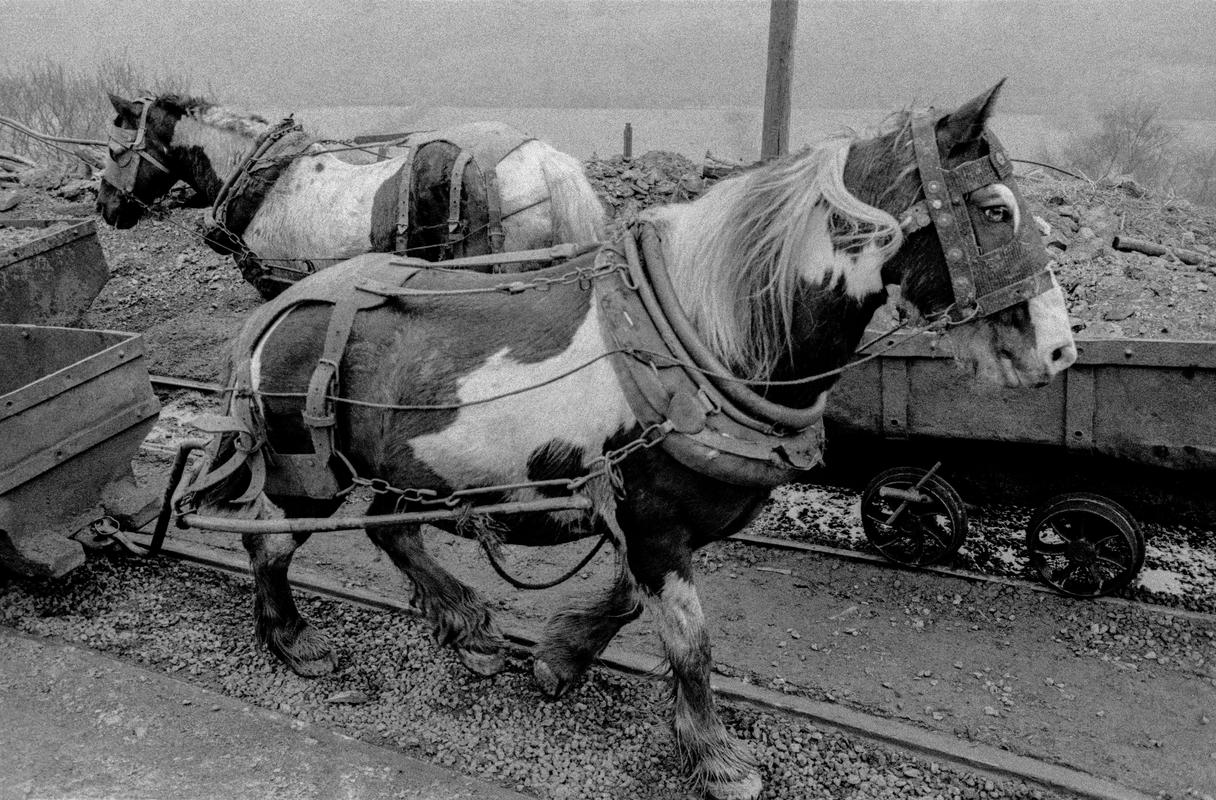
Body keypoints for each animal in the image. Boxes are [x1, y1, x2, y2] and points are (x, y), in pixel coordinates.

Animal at [179, 83, 1074, 792]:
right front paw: (716, 757)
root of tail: (280, 311)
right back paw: (295, 641)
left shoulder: (652, 520)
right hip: (310, 471)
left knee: (385, 529)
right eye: (995, 210)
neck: (707, 340)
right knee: (271, 542)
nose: (1059, 351)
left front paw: (561, 657)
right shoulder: (653, 522)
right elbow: (690, 640)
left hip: (403, 469)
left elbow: (627, 603)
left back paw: (468, 626)